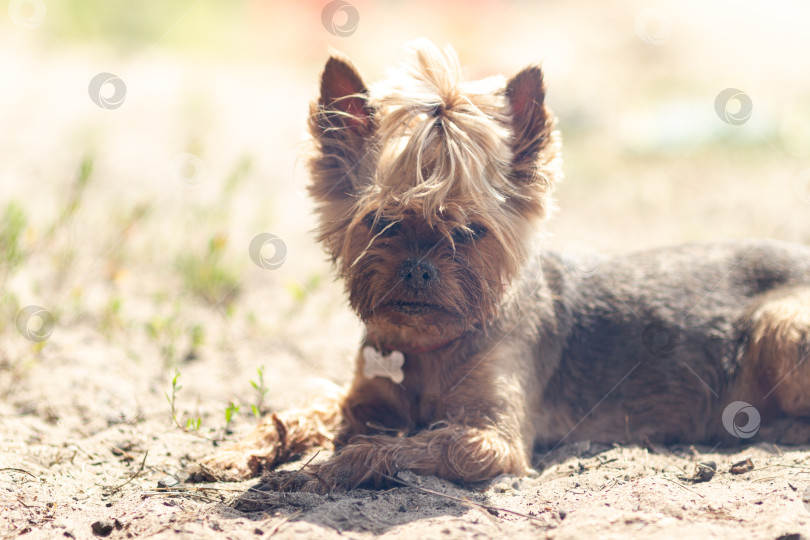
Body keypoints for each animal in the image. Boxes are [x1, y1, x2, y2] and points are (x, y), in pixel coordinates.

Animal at [196, 41, 808, 490]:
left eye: (470, 232)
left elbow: (397, 446)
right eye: (382, 222)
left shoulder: (491, 440)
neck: (426, 351)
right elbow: (307, 410)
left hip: (779, 325)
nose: (418, 268)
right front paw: (243, 450)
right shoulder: (362, 399)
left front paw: (319, 471)